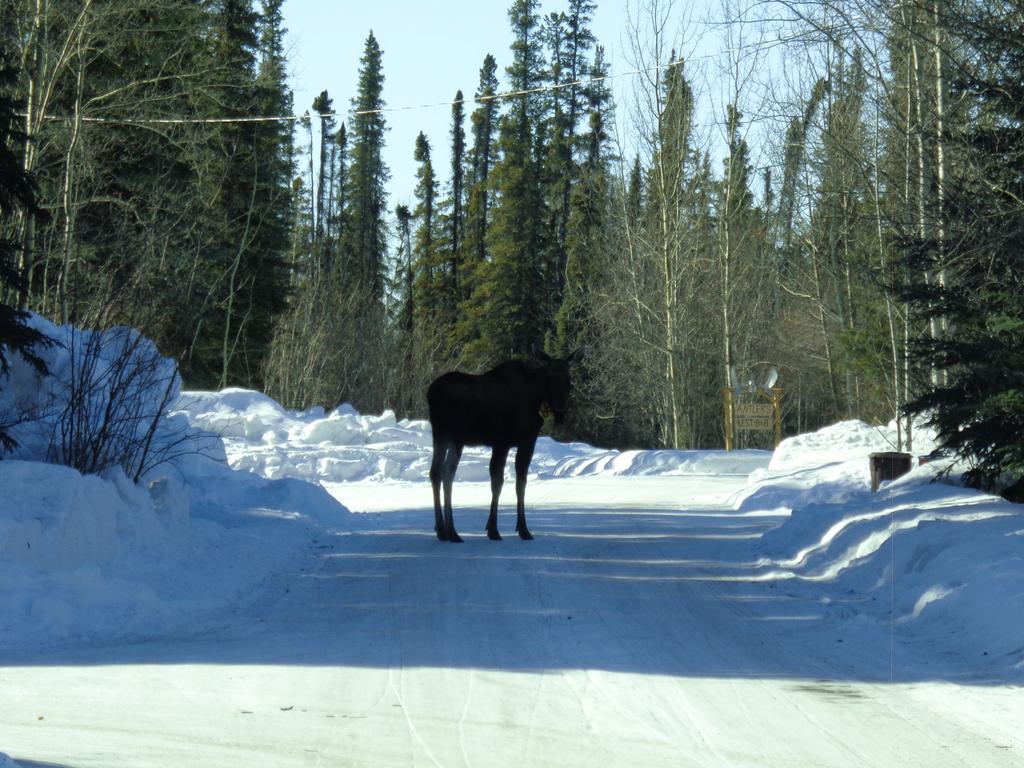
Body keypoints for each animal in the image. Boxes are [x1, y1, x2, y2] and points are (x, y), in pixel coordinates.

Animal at [423, 346, 585, 544]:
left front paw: (523, 530)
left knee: (444, 473)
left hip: (455, 440)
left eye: (569, 379)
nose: (560, 410)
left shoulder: (527, 442)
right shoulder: (502, 442)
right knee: (439, 472)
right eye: (549, 377)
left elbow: (520, 483)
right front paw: (493, 529)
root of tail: (430, 393)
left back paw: (448, 531)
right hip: (443, 434)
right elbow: (498, 483)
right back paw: (445, 530)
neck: (534, 399)